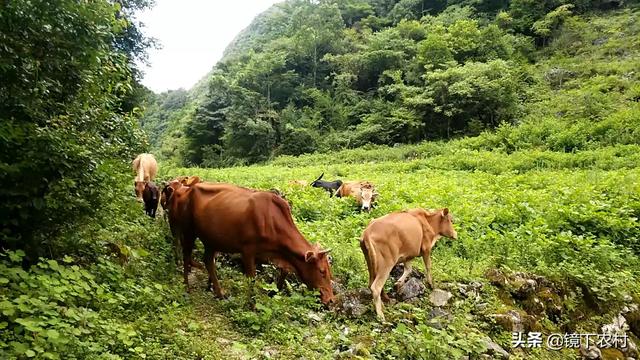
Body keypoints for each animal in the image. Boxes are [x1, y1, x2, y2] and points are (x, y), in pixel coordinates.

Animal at [176, 183, 336, 304]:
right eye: (322, 271)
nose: (331, 300)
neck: (272, 220)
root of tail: (189, 188)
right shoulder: (247, 251)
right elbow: (252, 280)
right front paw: (252, 305)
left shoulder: (271, 254)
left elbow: (284, 272)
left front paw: (273, 292)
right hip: (188, 231)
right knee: (186, 255)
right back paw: (187, 287)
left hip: (211, 240)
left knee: (208, 261)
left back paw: (217, 292)